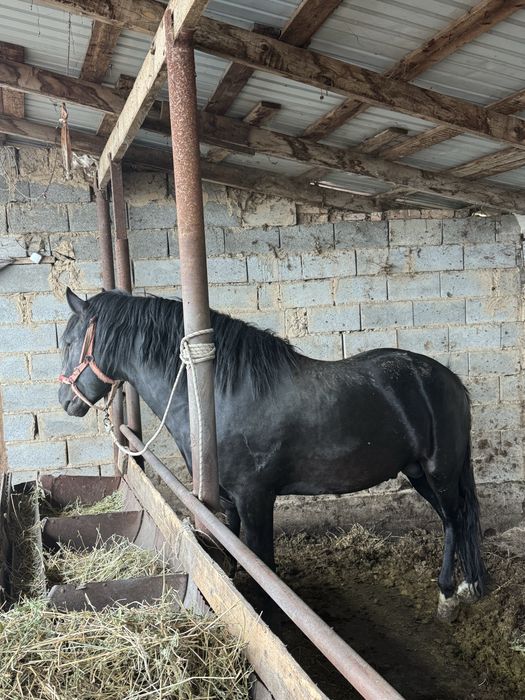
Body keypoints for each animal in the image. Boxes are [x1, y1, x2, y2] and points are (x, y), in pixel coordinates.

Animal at [58, 287, 486, 621]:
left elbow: (264, 565)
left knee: (454, 519)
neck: (220, 396)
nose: (65, 400)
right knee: (454, 520)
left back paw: (449, 595)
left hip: (440, 472)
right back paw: (466, 586)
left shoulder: (256, 499)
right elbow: (232, 556)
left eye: (68, 341)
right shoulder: (229, 502)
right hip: (418, 473)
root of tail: (448, 380)